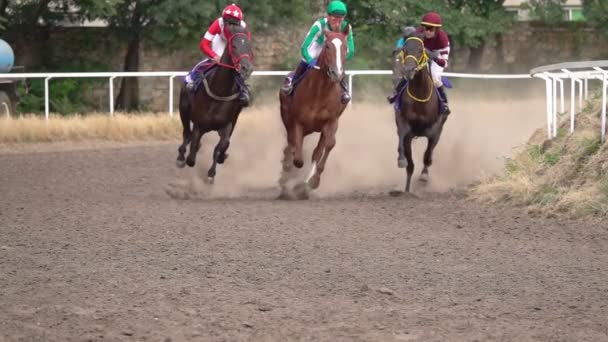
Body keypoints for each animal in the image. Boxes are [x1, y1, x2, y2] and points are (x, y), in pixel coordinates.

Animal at [175, 23, 253, 184]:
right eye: (234, 46)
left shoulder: (228, 123)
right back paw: (181, 156)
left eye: (249, 46)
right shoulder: (200, 124)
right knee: (187, 134)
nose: (246, 68)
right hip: (183, 109)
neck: (220, 91)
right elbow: (192, 154)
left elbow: (223, 145)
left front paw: (212, 172)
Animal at [278, 26, 350, 199]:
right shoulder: (297, 123)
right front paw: (293, 179)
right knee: (290, 147)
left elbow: (326, 147)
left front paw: (312, 182)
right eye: (327, 46)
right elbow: (297, 158)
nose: (337, 73)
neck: (320, 91)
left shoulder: (332, 122)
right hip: (288, 121)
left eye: (345, 47)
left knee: (315, 151)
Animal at [394, 33, 452, 194]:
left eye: (420, 50)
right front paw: (401, 160)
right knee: (411, 166)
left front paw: (424, 176)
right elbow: (402, 142)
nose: (408, 70)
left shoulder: (435, 130)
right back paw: (407, 189)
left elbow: (428, 155)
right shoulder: (404, 124)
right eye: (405, 49)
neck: (420, 95)